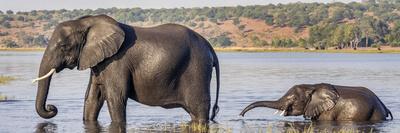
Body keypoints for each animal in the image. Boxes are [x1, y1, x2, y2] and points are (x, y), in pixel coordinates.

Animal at [33, 14, 222, 122]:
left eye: (63, 46)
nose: (52, 108)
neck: (86, 22)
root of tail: (209, 46)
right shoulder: (100, 62)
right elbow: (92, 98)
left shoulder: (117, 62)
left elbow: (115, 97)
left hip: (198, 69)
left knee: (199, 111)